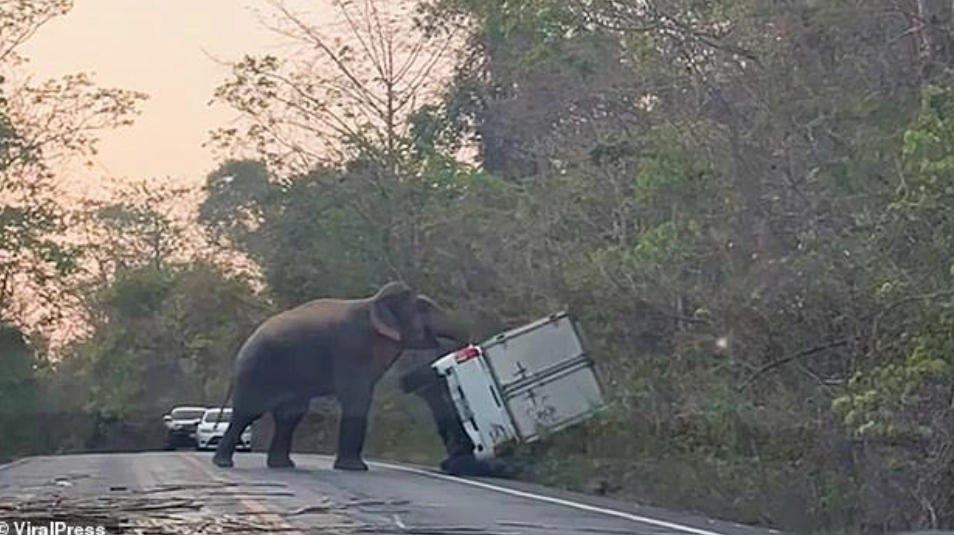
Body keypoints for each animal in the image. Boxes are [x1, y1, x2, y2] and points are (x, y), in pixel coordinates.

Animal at [211, 281, 470, 471]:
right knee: (248, 413)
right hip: (257, 372)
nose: (466, 347)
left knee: (290, 415)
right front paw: (356, 469)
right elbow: (356, 399)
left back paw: (282, 466)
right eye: (423, 307)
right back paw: (223, 464)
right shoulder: (351, 347)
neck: (372, 302)